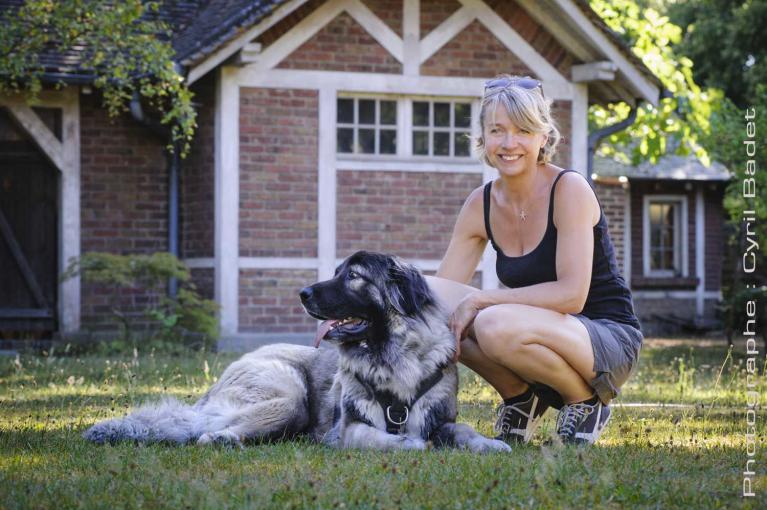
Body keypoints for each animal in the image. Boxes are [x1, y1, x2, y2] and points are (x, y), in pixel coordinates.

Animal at [84, 251, 512, 454]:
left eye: (352, 276)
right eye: (337, 271)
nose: (303, 293)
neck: (392, 356)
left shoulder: (441, 420)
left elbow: (463, 431)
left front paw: (489, 444)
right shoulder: (349, 428)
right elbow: (377, 437)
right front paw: (408, 444)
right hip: (289, 398)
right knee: (204, 434)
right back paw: (225, 440)